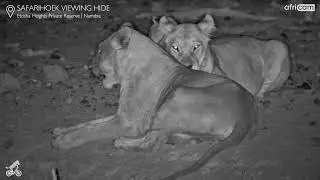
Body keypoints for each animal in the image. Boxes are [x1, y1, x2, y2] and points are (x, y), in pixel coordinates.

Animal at [92, 24, 255, 180]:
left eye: (100, 51)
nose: (89, 66)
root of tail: (246, 113)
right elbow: (93, 123)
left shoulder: (129, 122)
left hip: (176, 95)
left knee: (151, 144)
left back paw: (122, 141)